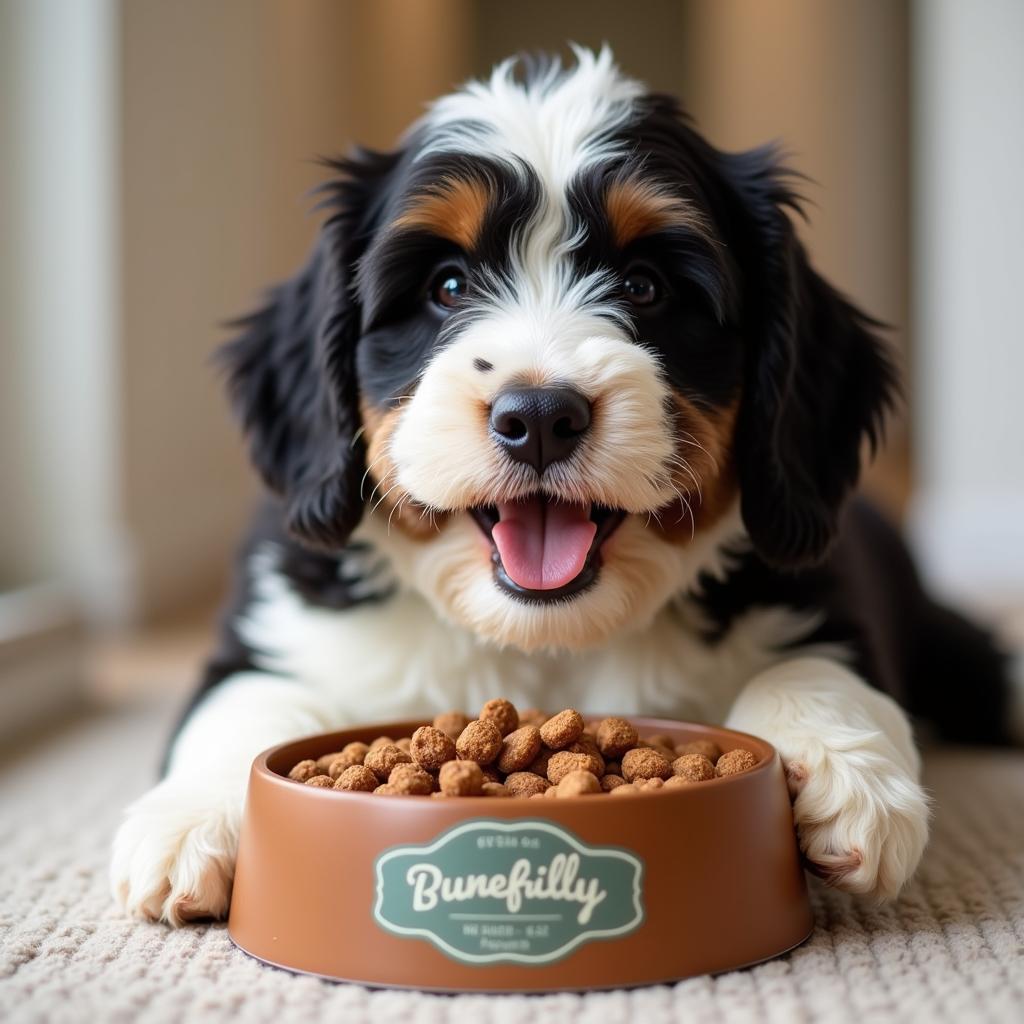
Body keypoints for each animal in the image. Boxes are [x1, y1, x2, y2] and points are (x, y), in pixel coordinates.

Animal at [108, 49, 1019, 929]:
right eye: (446, 285)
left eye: (646, 284)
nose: (540, 415)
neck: (546, 646)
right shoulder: (275, 617)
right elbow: (248, 702)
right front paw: (189, 821)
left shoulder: (818, 584)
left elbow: (818, 664)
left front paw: (846, 778)